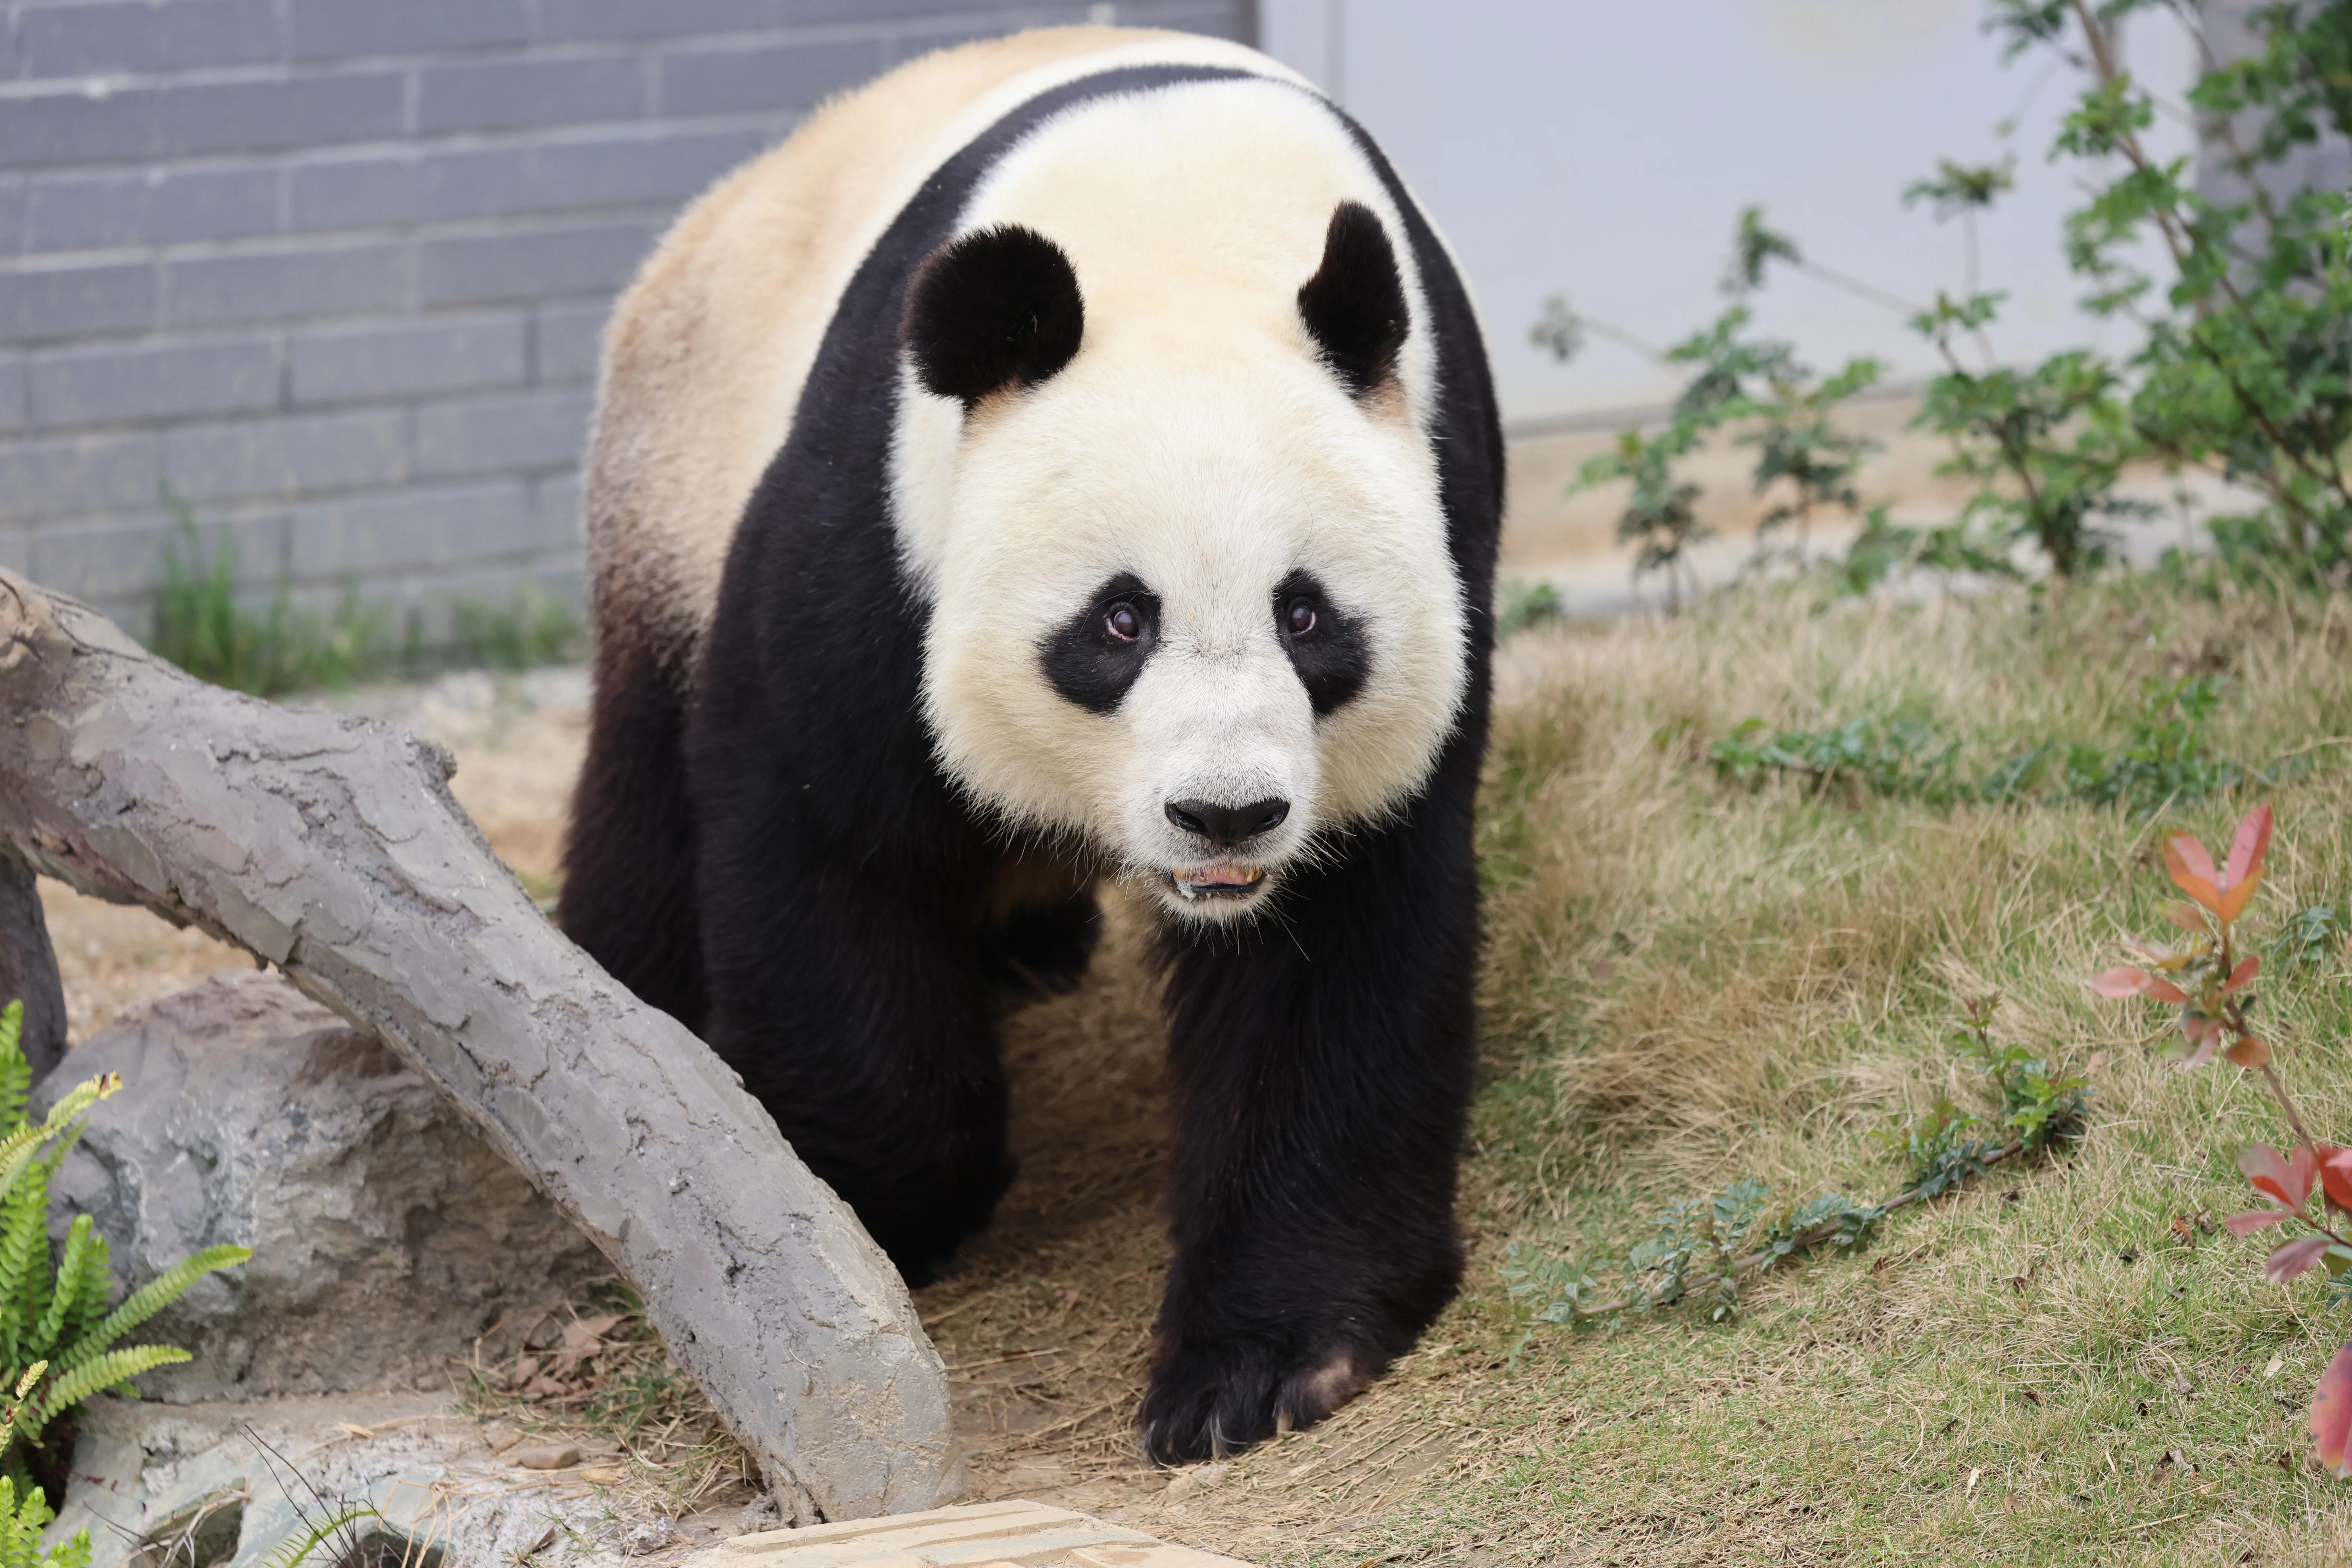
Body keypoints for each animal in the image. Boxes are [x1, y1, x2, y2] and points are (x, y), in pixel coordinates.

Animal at [561, 25, 1502, 1465]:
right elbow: (824, 837)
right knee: (647, 799)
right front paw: (863, 1207)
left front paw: (1270, 1361)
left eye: (1306, 615)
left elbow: (1340, 952)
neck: (1182, 225)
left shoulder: (1441, 506)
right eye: (1119, 619)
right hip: (672, 476)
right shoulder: (879, 522)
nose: (1225, 815)